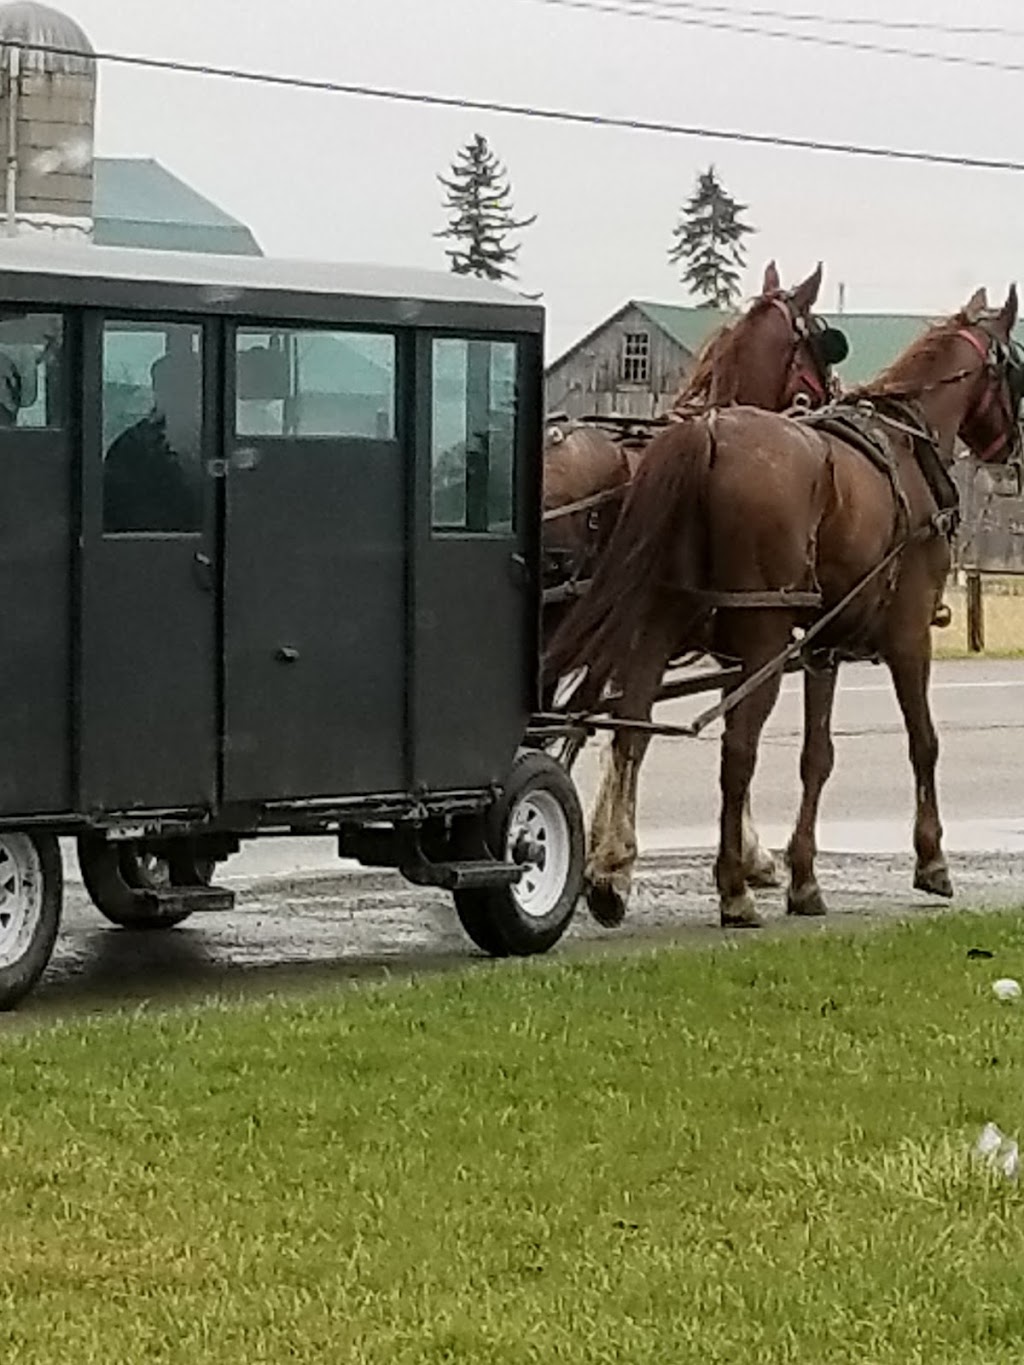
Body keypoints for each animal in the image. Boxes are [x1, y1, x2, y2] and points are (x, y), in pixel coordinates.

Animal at [548, 288, 1021, 928]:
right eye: (1015, 368)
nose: (1013, 448)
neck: (905, 443)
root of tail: (709, 434)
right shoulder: (906, 635)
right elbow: (923, 740)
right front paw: (930, 860)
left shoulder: (821, 644)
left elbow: (815, 755)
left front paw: (802, 877)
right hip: (760, 630)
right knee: (734, 750)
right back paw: (730, 890)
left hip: (661, 618)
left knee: (630, 729)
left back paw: (609, 878)